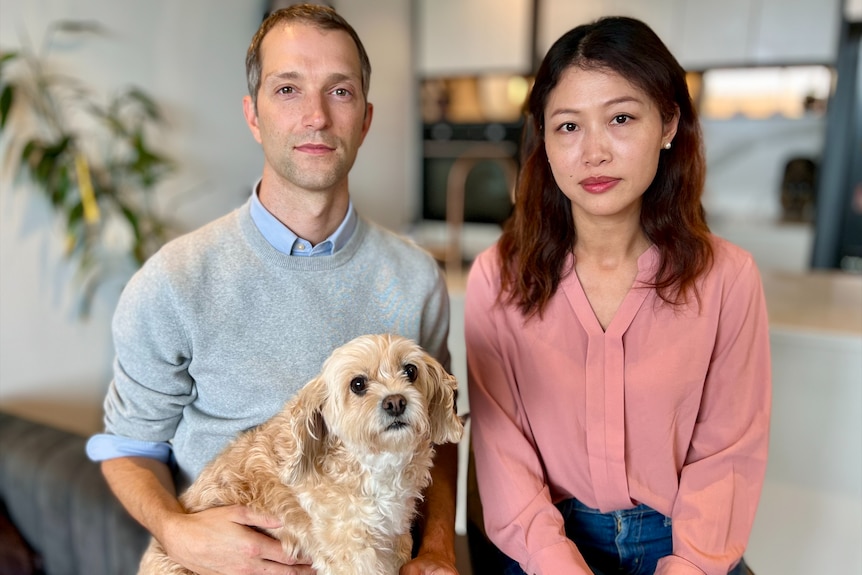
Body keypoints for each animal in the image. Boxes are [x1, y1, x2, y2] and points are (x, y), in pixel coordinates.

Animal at [138, 332, 466, 575]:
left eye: (410, 370)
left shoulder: (394, 540)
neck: (371, 463)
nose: (395, 402)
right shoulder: (351, 552)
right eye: (358, 384)